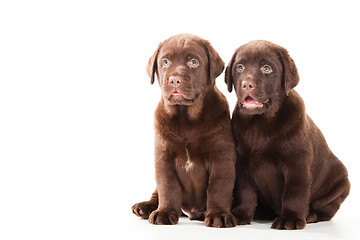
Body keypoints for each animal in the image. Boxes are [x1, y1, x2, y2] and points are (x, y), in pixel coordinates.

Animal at [132, 33, 236, 227]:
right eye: (165, 62)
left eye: (193, 62)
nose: (174, 80)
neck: (186, 118)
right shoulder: (163, 156)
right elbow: (167, 186)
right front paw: (165, 212)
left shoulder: (221, 155)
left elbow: (218, 187)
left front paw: (218, 214)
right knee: (157, 192)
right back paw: (145, 207)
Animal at [225, 40, 348, 230]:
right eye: (239, 67)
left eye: (266, 68)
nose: (246, 84)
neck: (260, 123)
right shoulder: (243, 163)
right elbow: (245, 192)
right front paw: (241, 214)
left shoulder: (296, 164)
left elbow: (294, 193)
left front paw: (290, 218)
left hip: (341, 184)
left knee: (327, 208)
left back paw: (311, 215)